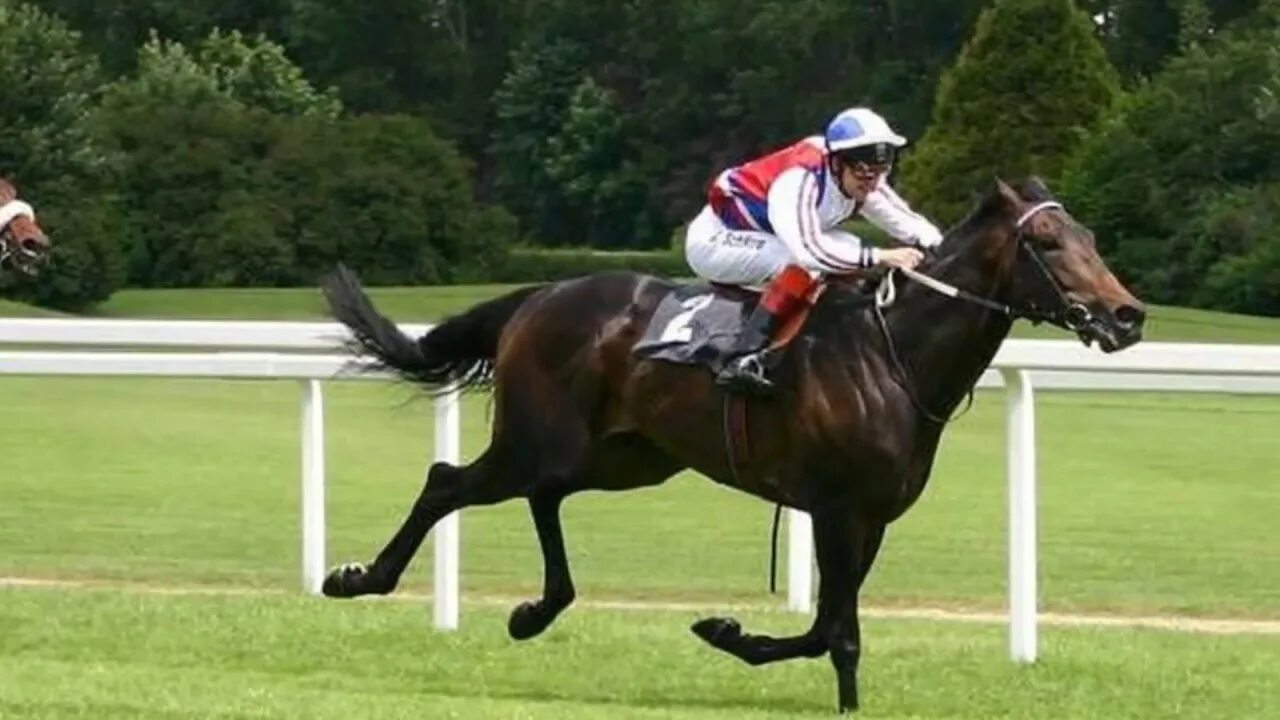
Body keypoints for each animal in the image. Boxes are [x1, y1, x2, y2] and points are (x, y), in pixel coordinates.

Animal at [322, 176, 1152, 707]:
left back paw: (536, 610)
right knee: (446, 480)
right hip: (541, 438)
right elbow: (837, 633)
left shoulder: (871, 516)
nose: (1127, 315)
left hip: (623, 456)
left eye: (1088, 235)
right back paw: (359, 579)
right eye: (1046, 240)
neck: (894, 354)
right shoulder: (837, 508)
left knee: (542, 495)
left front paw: (728, 631)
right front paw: (741, 637)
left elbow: (824, 628)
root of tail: (541, 294)